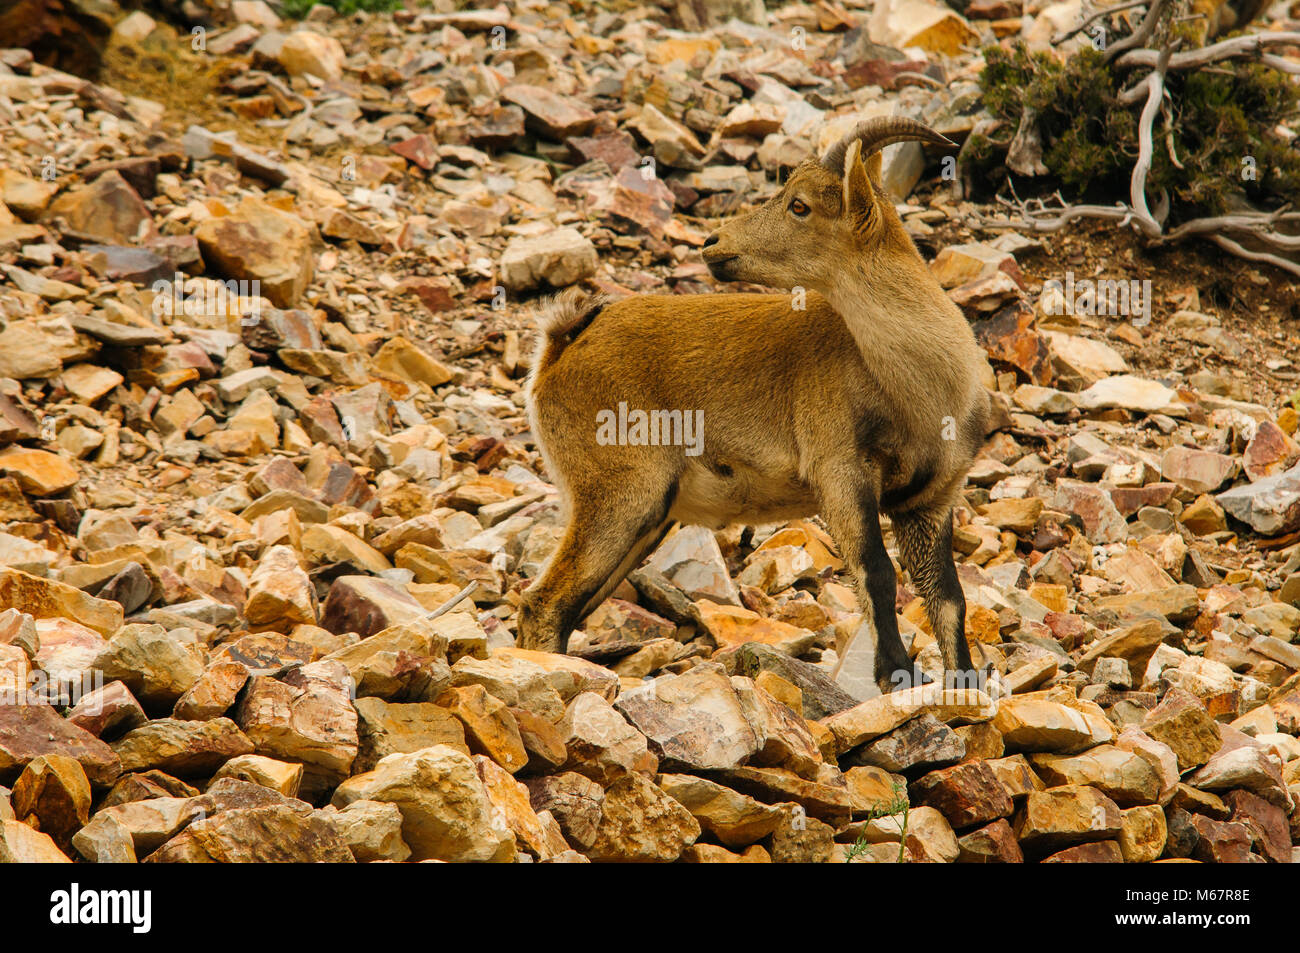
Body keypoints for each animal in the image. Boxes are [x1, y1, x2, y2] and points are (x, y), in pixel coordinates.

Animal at [512, 117, 987, 691]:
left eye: (799, 205)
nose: (712, 242)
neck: (922, 387)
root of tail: (559, 349)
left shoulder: (932, 498)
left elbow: (949, 599)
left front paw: (965, 683)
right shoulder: (841, 473)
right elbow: (875, 571)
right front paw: (896, 675)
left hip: (645, 519)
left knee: (565, 608)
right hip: (618, 494)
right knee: (544, 603)